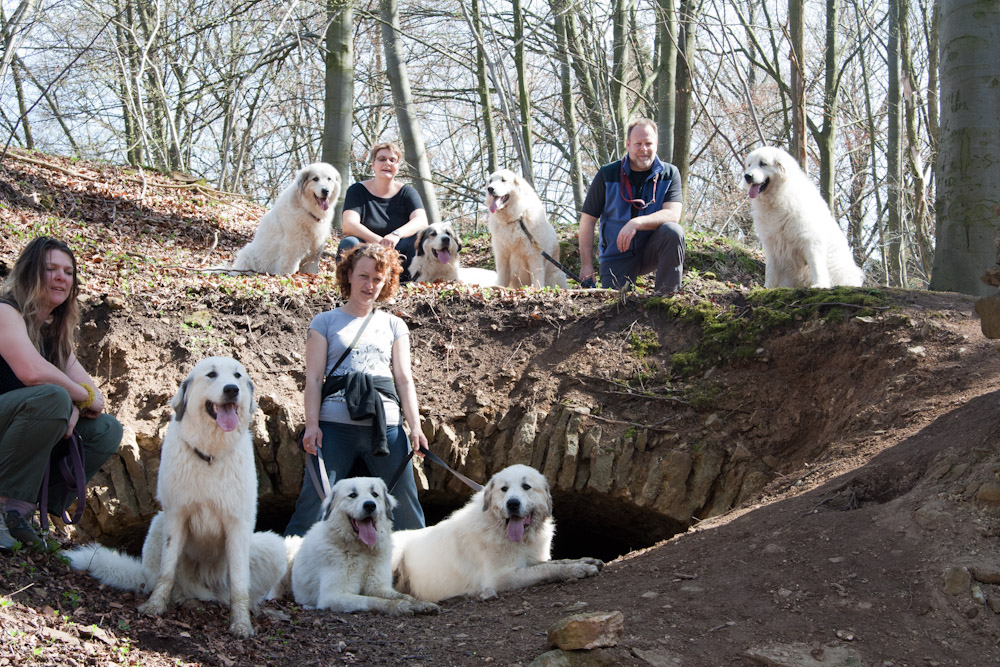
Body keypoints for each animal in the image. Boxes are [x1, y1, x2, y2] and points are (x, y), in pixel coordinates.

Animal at [67, 358, 288, 640]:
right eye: (211, 375)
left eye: (238, 376)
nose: (232, 390)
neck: (210, 455)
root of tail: (207, 591)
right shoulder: (176, 517)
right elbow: (167, 570)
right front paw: (154, 606)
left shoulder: (237, 525)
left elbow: (240, 583)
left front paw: (241, 624)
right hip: (158, 524)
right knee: (167, 582)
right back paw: (185, 600)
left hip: (273, 547)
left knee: (237, 592)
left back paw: (251, 609)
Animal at [288, 480, 440, 616]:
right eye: (352, 495)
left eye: (375, 494)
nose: (370, 505)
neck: (363, 551)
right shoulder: (334, 596)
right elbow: (374, 600)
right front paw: (400, 607)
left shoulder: (378, 587)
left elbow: (403, 596)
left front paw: (419, 604)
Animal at [388, 464, 600, 604]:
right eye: (504, 489)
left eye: (526, 487)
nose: (512, 503)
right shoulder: (500, 577)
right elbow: (546, 570)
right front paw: (578, 569)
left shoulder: (528, 560)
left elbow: (553, 563)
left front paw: (584, 561)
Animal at [744, 147, 868, 288]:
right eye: (749, 165)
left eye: (763, 163)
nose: (747, 176)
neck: (777, 198)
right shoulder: (771, 243)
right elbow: (770, 269)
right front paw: (768, 287)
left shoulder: (810, 239)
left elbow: (816, 265)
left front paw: (819, 285)